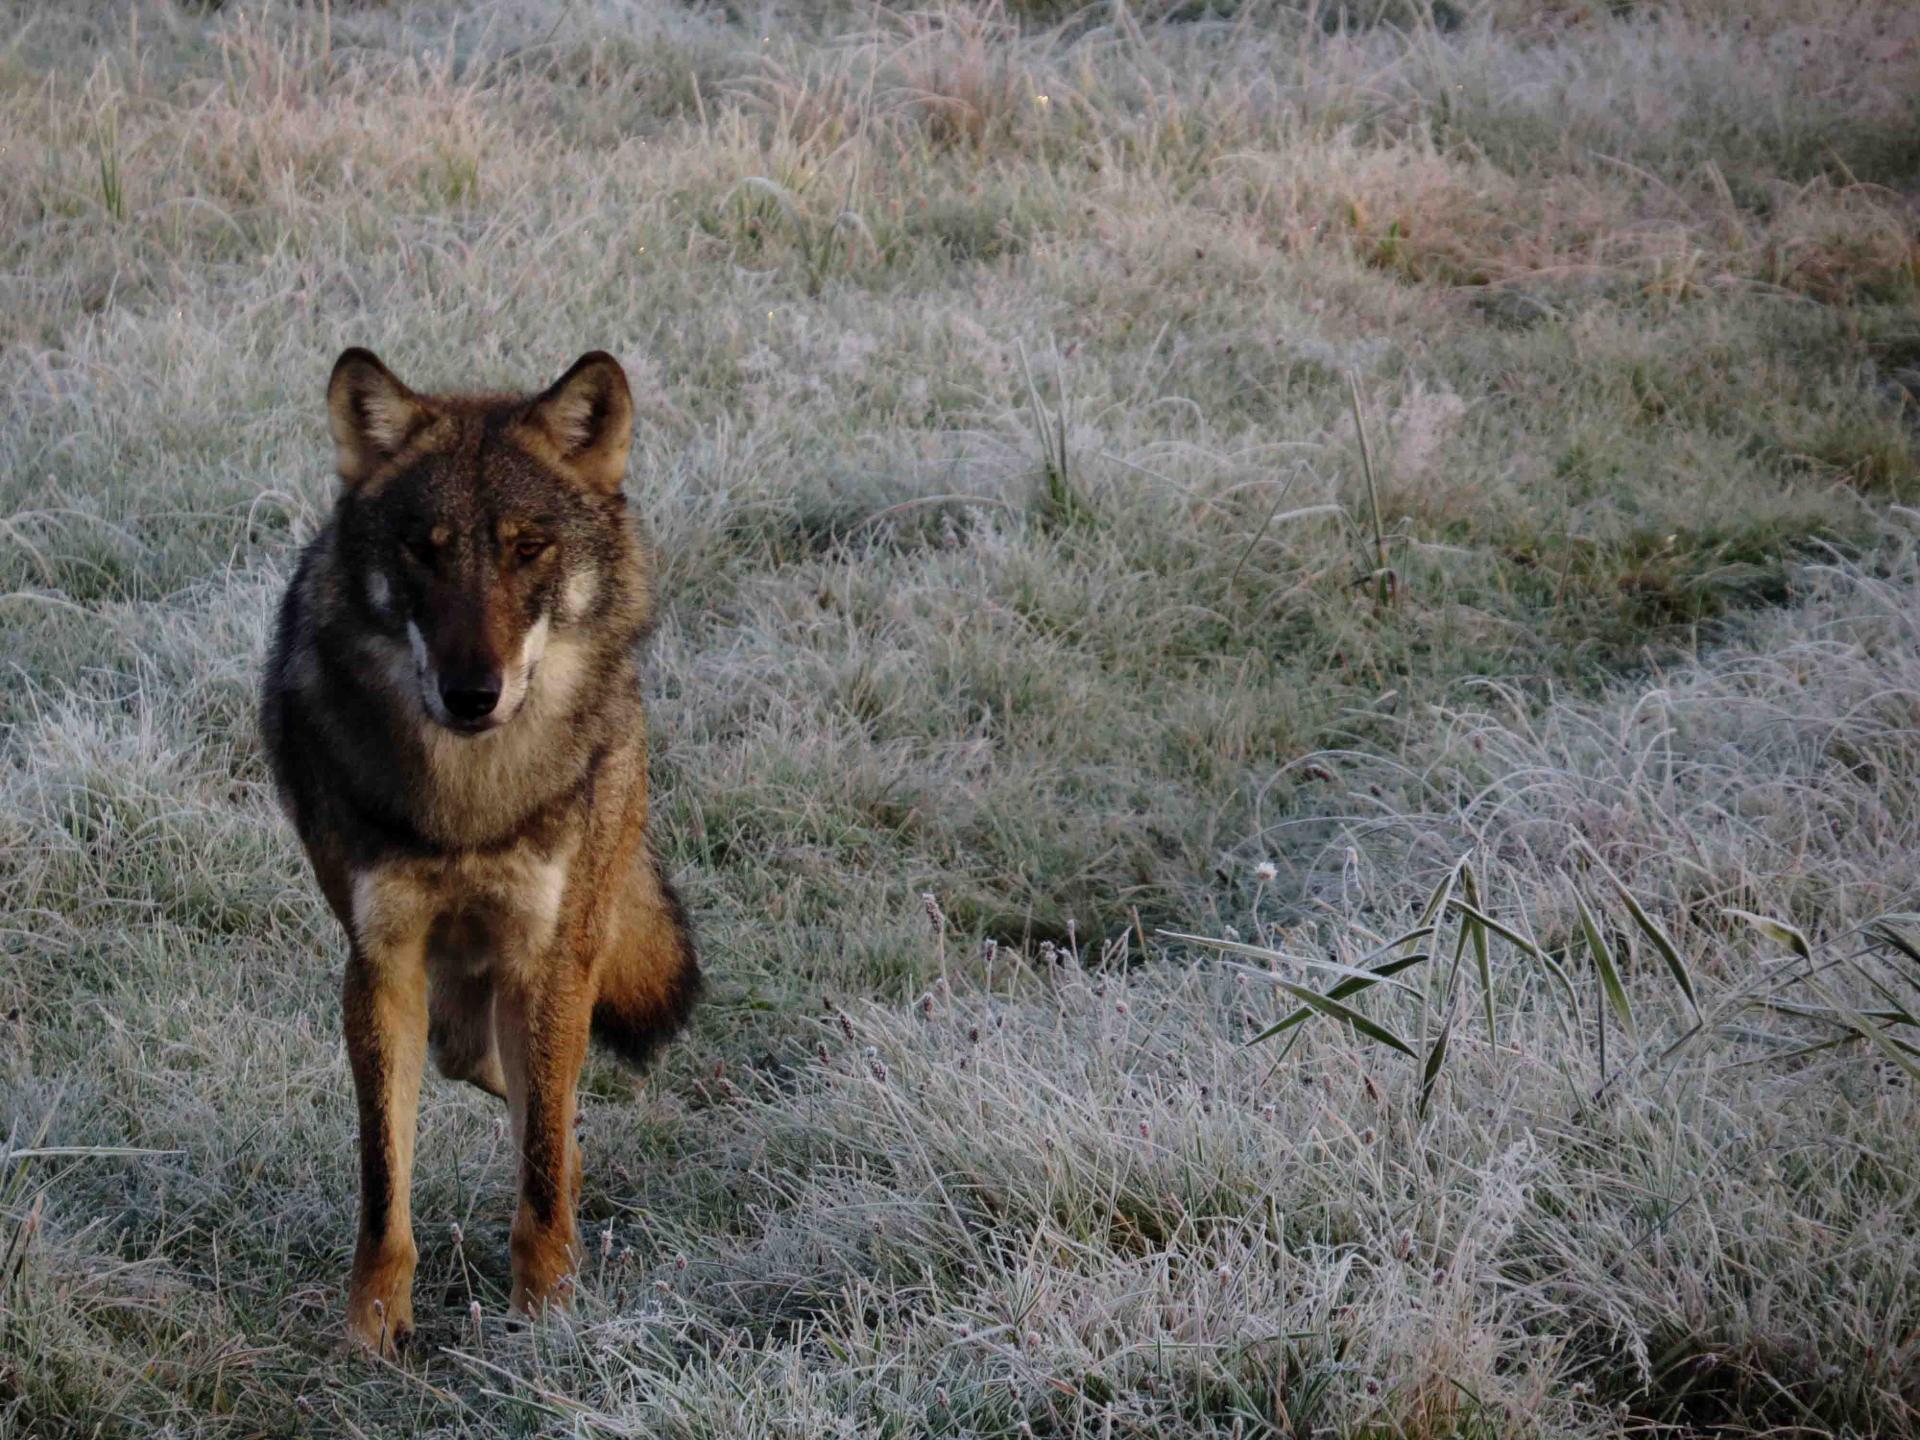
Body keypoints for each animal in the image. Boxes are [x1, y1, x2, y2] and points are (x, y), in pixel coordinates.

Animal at [259, 343, 702, 1359]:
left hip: (556, 956)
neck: (469, 803)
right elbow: (385, 1184)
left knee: (555, 1108)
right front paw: (372, 1334)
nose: (472, 694)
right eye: (424, 549)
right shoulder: (381, 967)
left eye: (526, 547)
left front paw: (545, 1321)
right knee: (512, 1081)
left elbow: (535, 1173)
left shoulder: (547, 958)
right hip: (457, 1009)